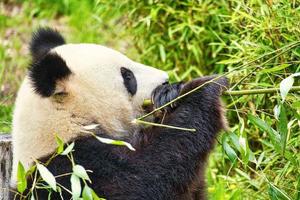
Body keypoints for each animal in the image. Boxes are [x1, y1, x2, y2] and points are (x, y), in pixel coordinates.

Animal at [10, 27, 229, 199]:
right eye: (128, 76)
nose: (165, 80)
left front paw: (169, 94)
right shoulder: (76, 171)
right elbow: (147, 175)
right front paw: (203, 89)